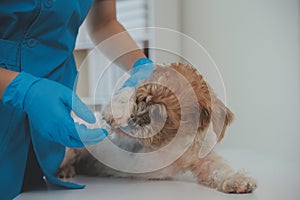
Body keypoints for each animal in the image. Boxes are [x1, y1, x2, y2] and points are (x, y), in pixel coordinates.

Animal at [58, 63, 258, 194]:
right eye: (139, 100)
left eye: (160, 115)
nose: (133, 119)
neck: (176, 140)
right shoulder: (125, 134)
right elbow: (123, 96)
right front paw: (120, 108)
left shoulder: (204, 161)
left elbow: (220, 170)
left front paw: (238, 180)